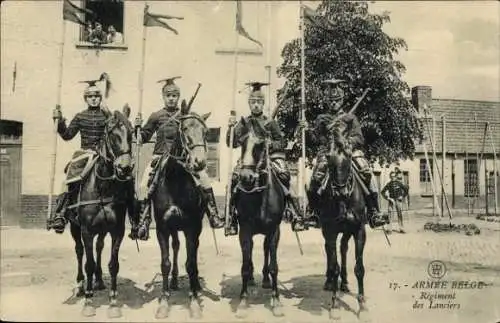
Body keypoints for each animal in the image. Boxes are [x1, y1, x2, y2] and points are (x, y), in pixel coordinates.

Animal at [68, 109, 136, 318]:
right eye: (112, 134)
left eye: (131, 134)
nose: (125, 168)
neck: (103, 186)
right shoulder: (86, 231)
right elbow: (88, 263)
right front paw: (89, 302)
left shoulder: (117, 231)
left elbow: (113, 264)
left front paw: (113, 303)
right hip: (74, 228)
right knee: (79, 251)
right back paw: (81, 285)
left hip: (102, 230)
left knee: (99, 247)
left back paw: (98, 281)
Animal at [148, 102, 211, 320]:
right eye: (184, 128)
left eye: (205, 132)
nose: (200, 162)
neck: (174, 179)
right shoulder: (162, 228)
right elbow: (165, 262)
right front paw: (164, 302)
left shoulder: (192, 227)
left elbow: (190, 263)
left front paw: (194, 302)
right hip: (174, 228)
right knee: (175, 246)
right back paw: (174, 281)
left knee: (193, 251)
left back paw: (197, 285)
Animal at [230, 117, 286, 318]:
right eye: (241, 142)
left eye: (261, 145)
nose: (246, 177)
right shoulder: (245, 231)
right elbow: (245, 267)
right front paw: (243, 301)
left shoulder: (274, 230)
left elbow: (274, 266)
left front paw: (276, 301)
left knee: (265, 249)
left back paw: (265, 279)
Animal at [316, 117, 372, 320]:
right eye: (329, 158)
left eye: (348, 156)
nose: (340, 191)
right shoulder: (331, 231)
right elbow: (334, 267)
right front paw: (334, 306)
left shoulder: (359, 231)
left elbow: (359, 268)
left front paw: (362, 306)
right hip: (328, 232)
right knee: (331, 251)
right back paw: (329, 282)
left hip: (347, 231)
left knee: (344, 248)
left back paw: (345, 283)